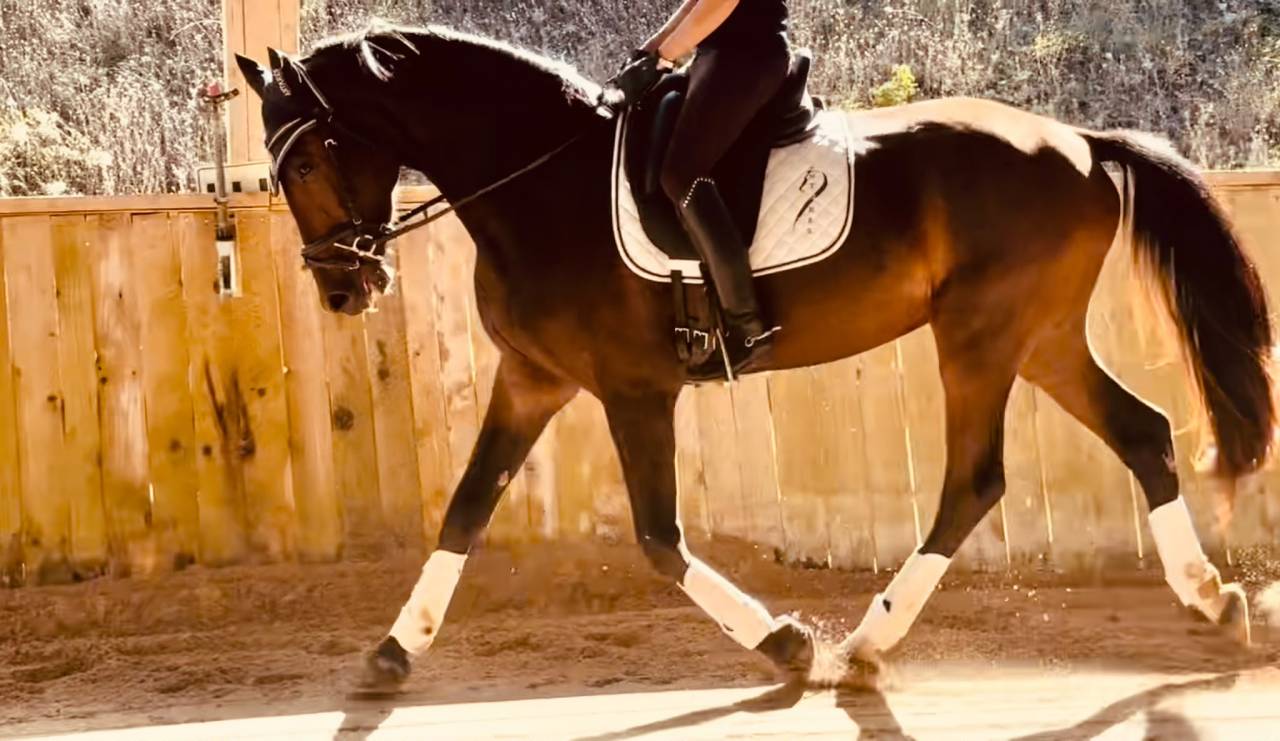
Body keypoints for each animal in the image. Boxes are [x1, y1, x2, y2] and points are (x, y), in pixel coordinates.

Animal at [234, 22, 1273, 689]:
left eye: (308, 160)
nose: (341, 288)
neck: (539, 180)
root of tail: (1080, 144)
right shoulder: (534, 379)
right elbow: (463, 510)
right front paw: (393, 649)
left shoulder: (632, 389)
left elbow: (659, 539)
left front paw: (785, 644)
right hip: (1041, 334)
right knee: (1142, 433)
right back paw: (1213, 601)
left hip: (980, 334)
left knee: (975, 480)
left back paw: (860, 647)